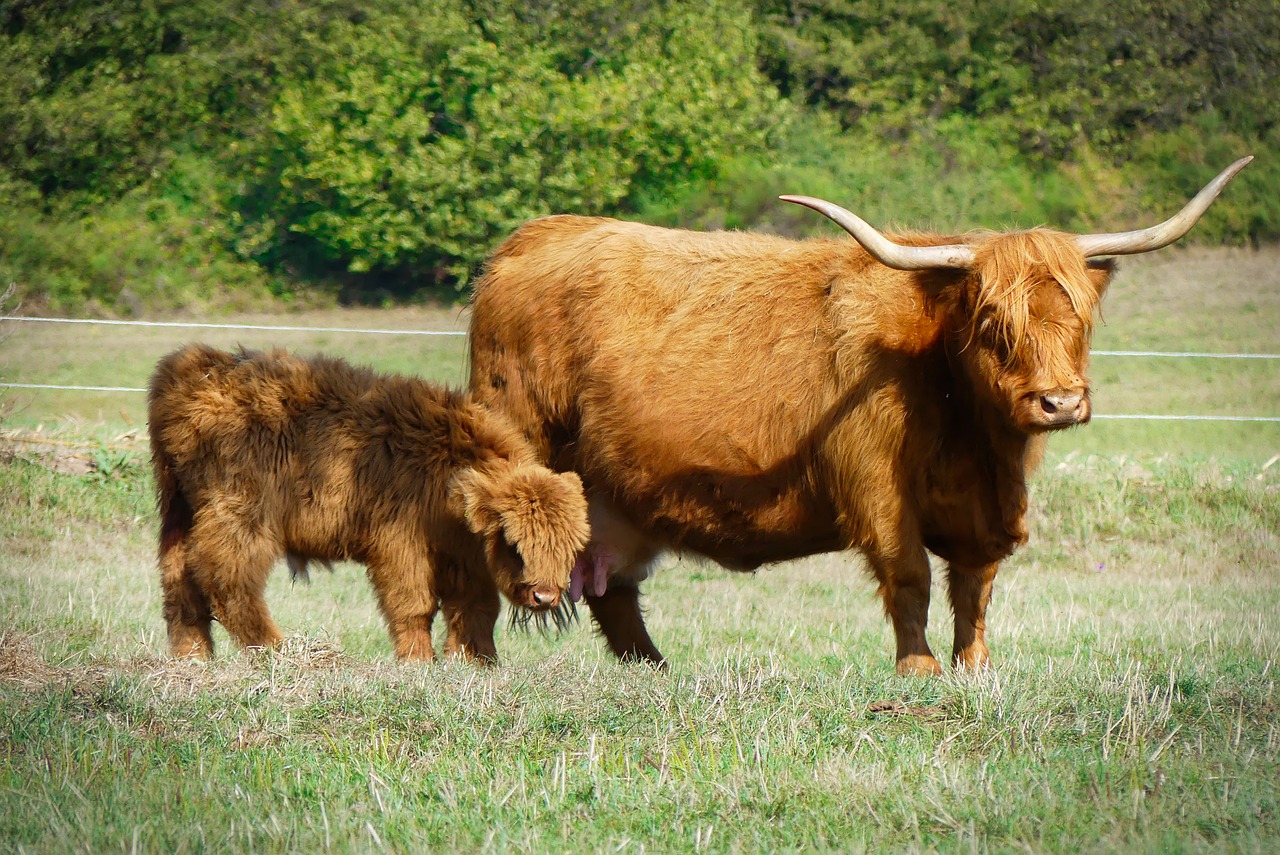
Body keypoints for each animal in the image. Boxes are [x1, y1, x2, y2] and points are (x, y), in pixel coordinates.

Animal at [149, 343, 588, 665]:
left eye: (573, 549)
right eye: (514, 544)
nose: (545, 596)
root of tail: (198, 367)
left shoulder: (465, 560)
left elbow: (475, 610)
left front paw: (477, 662)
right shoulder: (400, 548)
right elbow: (414, 605)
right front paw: (417, 661)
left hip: (178, 512)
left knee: (179, 580)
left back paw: (193, 657)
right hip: (241, 516)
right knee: (225, 577)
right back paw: (276, 649)